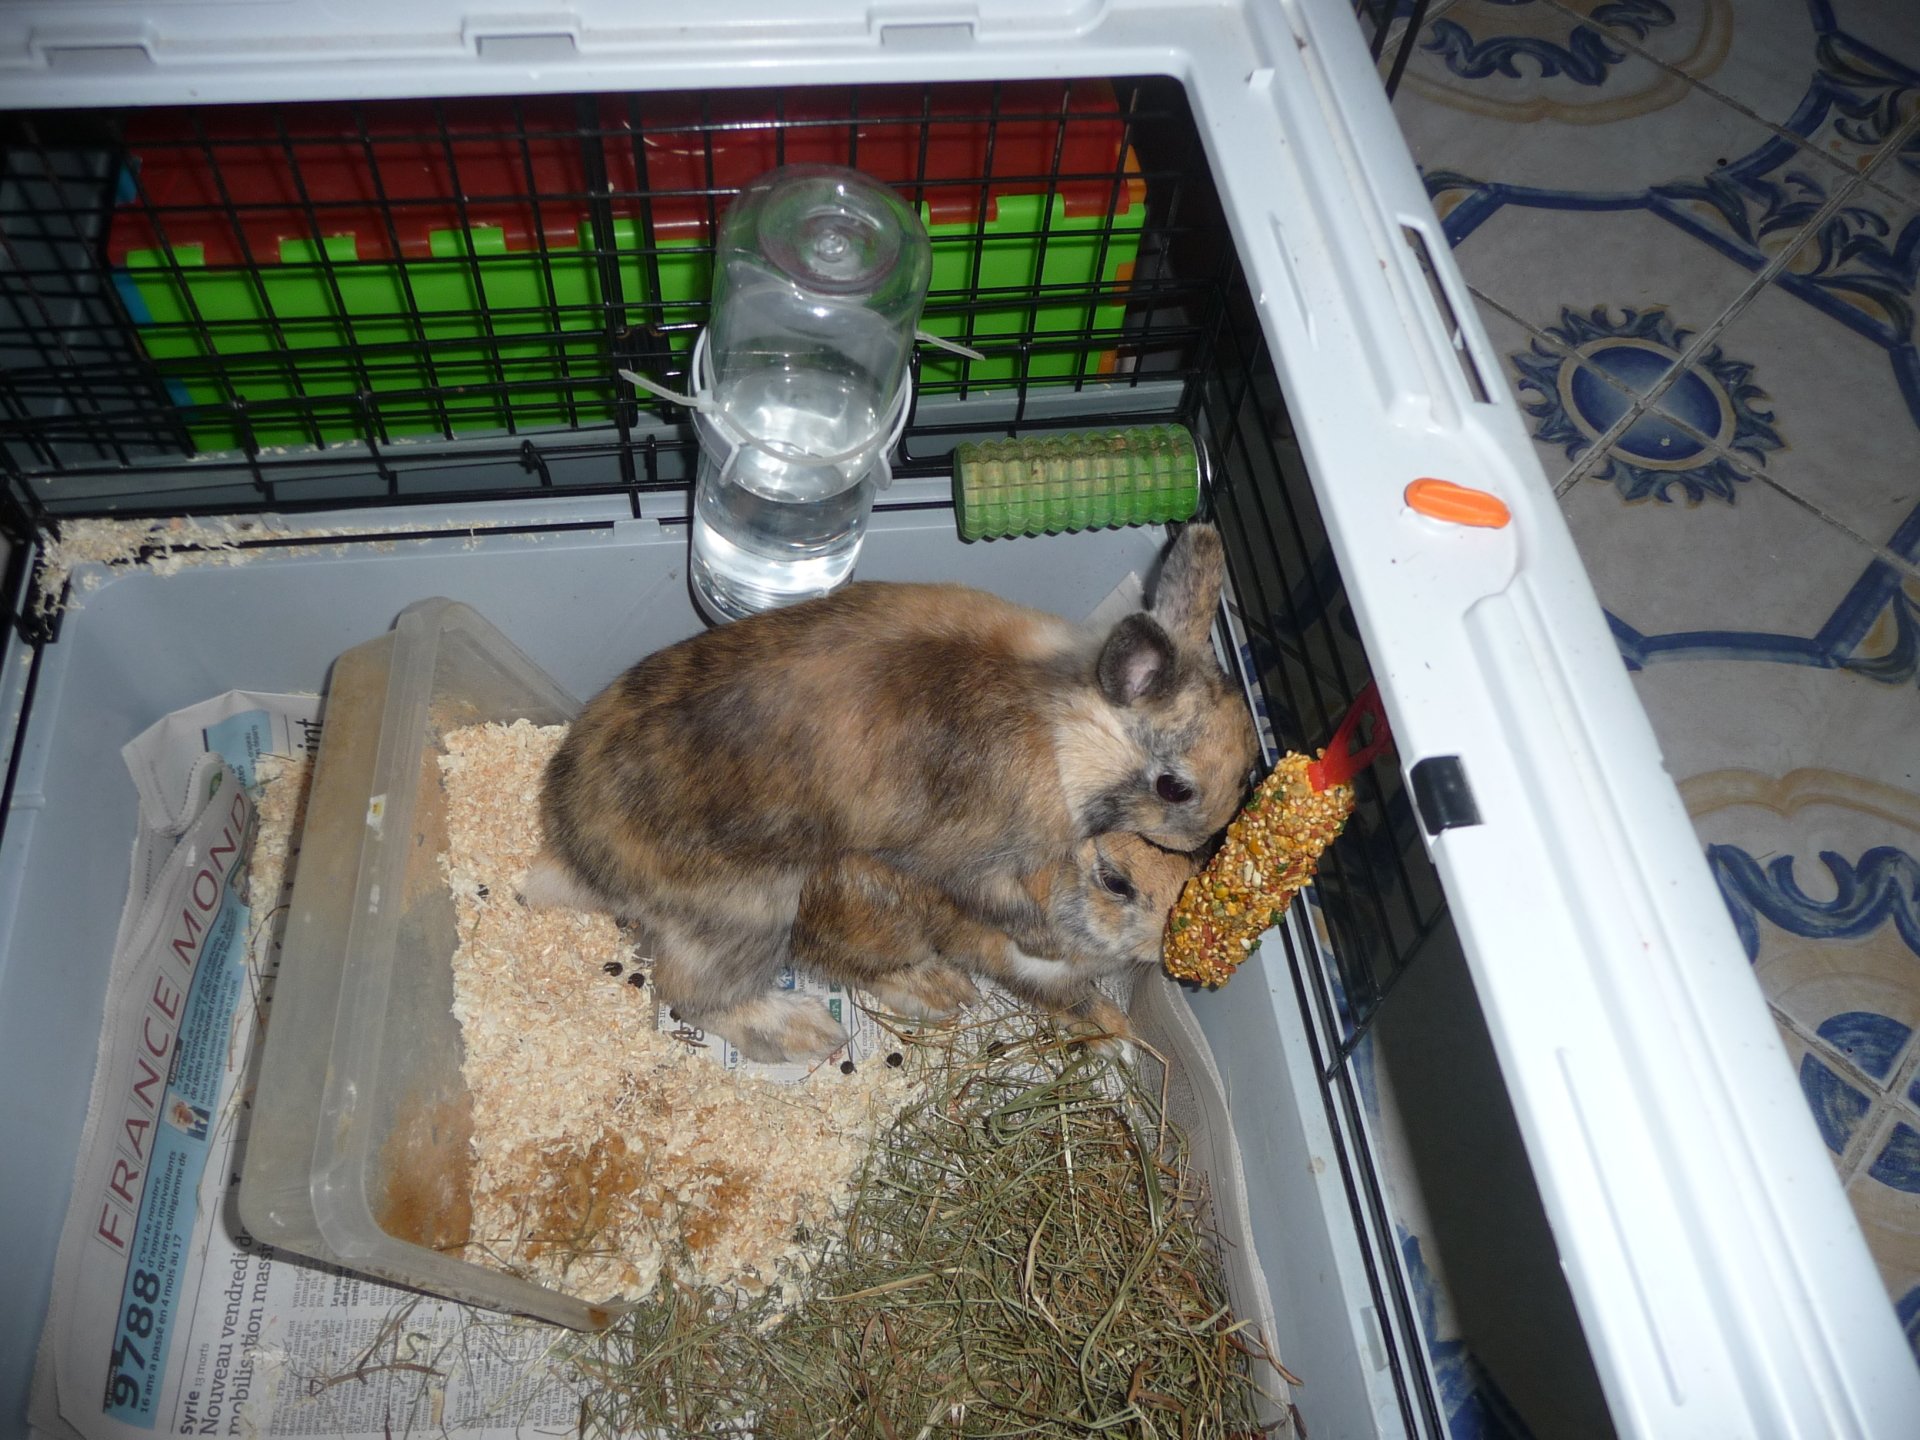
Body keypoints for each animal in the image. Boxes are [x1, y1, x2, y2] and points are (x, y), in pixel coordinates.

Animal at [790, 832, 1201, 1043]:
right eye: (1115, 882)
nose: (1168, 938)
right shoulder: (1028, 968)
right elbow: (1073, 999)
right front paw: (1118, 1037)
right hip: (883, 926)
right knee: (849, 966)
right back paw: (943, 992)